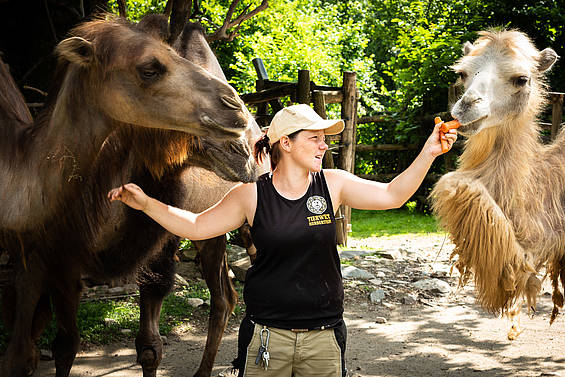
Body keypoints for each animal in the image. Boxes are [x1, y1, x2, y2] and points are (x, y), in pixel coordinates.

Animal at [0, 16, 260, 376]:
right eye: (149, 68)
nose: (246, 142)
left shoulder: (161, 239)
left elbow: (149, 346)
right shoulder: (48, 255)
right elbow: (50, 347)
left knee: (223, 297)